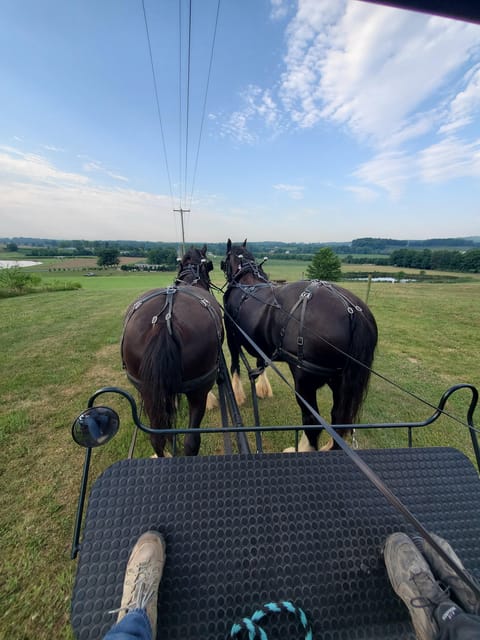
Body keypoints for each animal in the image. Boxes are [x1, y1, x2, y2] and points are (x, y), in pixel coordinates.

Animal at [122, 244, 223, 456]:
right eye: (209, 265)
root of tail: (164, 321)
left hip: (146, 390)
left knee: (156, 438)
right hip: (198, 390)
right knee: (191, 441)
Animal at [222, 239, 378, 450]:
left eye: (225, 259)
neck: (246, 280)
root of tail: (352, 311)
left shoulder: (232, 337)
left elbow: (235, 366)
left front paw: (238, 394)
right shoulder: (259, 344)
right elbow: (259, 363)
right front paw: (262, 388)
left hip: (304, 382)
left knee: (312, 422)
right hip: (339, 381)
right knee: (338, 419)